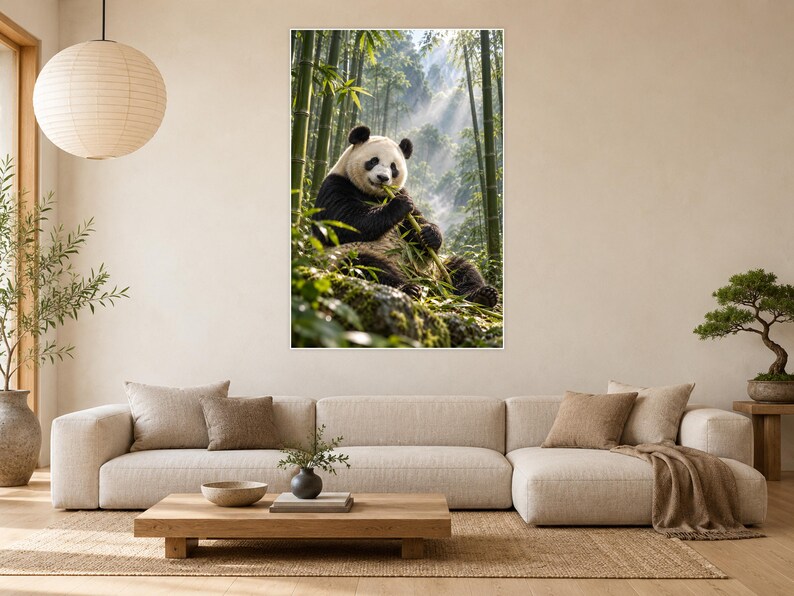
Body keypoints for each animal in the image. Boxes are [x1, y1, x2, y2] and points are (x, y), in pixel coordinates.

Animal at [312, 125, 499, 308]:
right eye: (374, 161)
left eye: (393, 167)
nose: (383, 178)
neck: (374, 195)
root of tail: (428, 284)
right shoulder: (336, 185)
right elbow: (344, 222)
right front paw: (399, 206)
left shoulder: (400, 191)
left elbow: (415, 223)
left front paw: (430, 234)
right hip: (349, 256)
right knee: (367, 267)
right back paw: (408, 288)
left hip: (434, 267)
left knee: (461, 268)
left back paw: (482, 295)